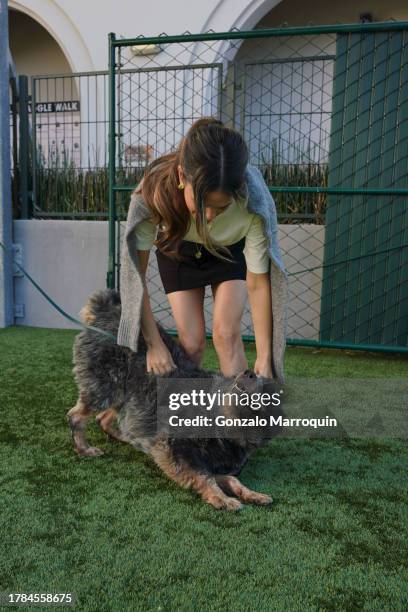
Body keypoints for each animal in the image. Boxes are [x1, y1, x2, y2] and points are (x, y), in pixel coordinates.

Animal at [67, 290, 284, 510]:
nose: (249, 372)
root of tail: (105, 308)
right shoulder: (174, 449)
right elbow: (204, 477)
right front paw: (222, 498)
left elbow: (232, 479)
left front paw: (253, 494)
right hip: (105, 388)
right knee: (75, 416)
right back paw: (84, 448)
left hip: (126, 397)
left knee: (105, 418)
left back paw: (126, 437)